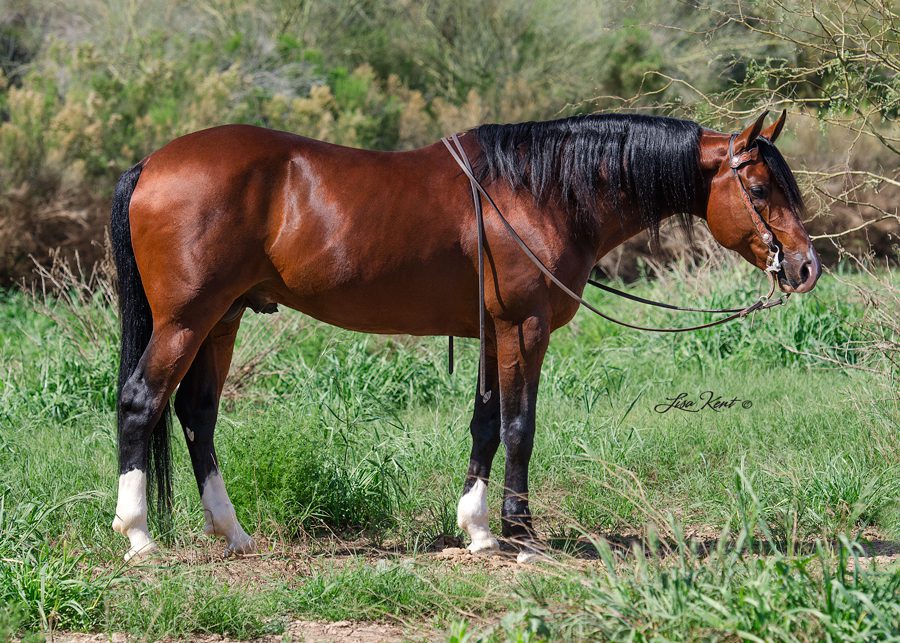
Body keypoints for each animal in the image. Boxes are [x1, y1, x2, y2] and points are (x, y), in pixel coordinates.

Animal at [110, 110, 820, 563]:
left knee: (196, 414)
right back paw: (139, 536)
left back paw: (232, 534)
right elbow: (519, 427)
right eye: (760, 188)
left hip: (223, 319)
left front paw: (476, 530)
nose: (806, 267)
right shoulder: (525, 328)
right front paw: (521, 536)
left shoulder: (493, 334)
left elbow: (484, 425)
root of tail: (149, 164)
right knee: (142, 402)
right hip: (187, 319)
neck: (540, 191)